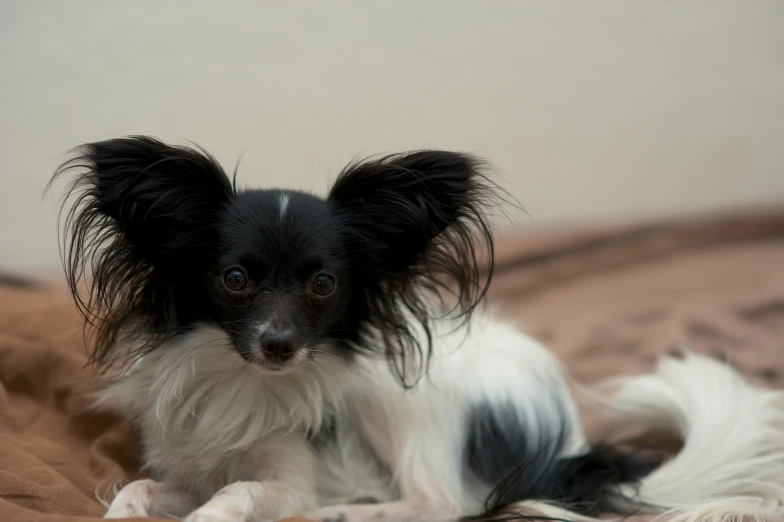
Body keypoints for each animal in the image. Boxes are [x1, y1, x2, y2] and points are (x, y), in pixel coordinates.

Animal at [52, 137, 780, 520]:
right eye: (234, 279)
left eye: (324, 285)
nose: (280, 346)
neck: (243, 380)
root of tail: (563, 443)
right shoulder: (183, 463)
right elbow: (141, 487)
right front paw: (123, 511)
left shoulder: (292, 476)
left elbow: (241, 491)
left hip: (402, 399)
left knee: (439, 503)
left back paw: (345, 513)